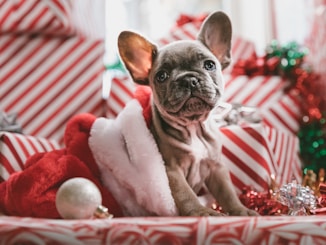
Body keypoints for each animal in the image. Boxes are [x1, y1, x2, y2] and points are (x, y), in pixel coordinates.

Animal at [117, 11, 258, 216]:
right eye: (161, 76)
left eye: (209, 65)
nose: (188, 79)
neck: (193, 126)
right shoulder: (171, 172)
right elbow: (186, 196)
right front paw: (202, 212)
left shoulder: (216, 168)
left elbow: (228, 192)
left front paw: (240, 211)